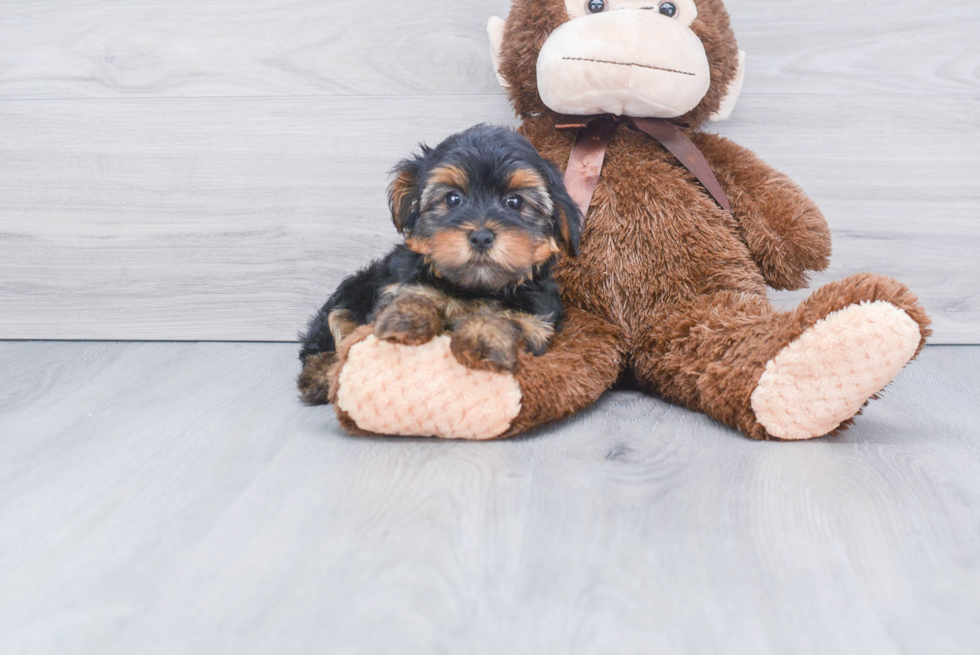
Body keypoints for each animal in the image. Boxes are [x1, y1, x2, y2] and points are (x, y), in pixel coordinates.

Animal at [294, 124, 580, 404]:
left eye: (515, 202)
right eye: (453, 199)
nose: (481, 236)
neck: (473, 288)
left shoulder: (537, 322)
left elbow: (510, 322)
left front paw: (481, 338)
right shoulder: (401, 286)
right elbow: (414, 296)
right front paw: (406, 320)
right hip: (354, 290)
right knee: (332, 327)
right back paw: (320, 374)